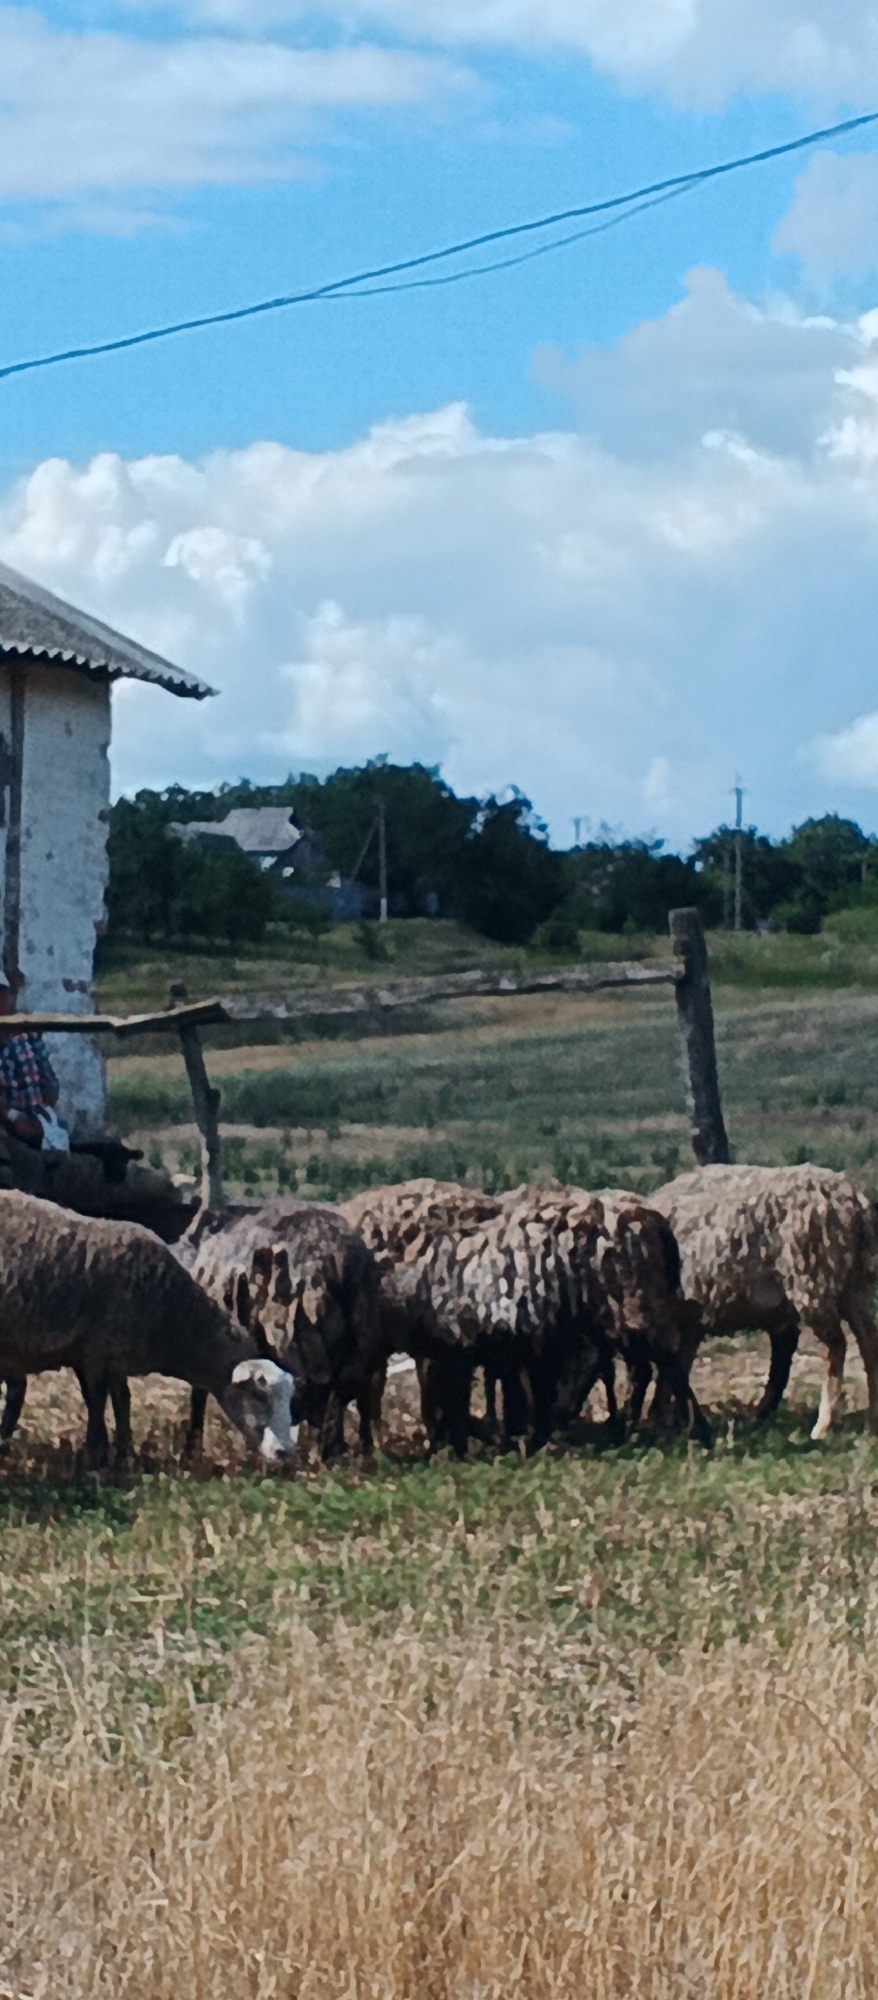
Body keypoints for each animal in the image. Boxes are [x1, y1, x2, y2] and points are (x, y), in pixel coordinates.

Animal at [0, 1191, 300, 1468]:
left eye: (289, 1399)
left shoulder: (113, 1359)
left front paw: (125, 1456)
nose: (285, 1452)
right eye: (259, 1395)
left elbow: (122, 1402)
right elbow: (97, 1402)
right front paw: (96, 1457)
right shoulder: (96, 1353)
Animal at [649, 1164, 878, 1440]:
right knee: (869, 1342)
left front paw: (664, 1419)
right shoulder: (689, 1322)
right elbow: (678, 1367)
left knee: (837, 1345)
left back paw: (823, 1424)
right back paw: (872, 1422)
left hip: (813, 1278)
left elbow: (670, 1369)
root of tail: (854, 1202)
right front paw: (677, 1420)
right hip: (856, 1284)